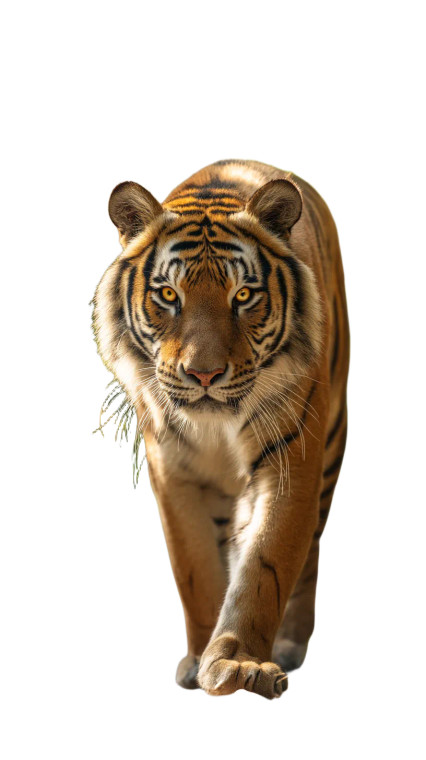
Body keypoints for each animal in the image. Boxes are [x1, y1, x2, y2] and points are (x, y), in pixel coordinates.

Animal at [92, 159, 349, 699]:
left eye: (243, 295)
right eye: (169, 295)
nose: (204, 374)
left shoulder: (292, 459)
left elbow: (267, 564)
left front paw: (240, 663)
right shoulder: (174, 473)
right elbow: (194, 566)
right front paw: (199, 660)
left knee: (310, 552)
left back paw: (289, 646)